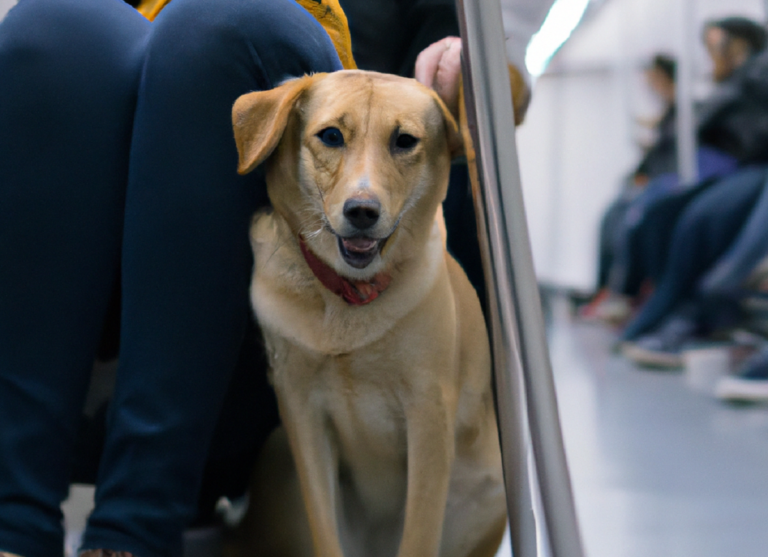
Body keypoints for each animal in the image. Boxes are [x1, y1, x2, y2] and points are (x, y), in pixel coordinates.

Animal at [228, 70, 508, 556]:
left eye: (405, 141)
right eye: (331, 136)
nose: (362, 211)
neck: (347, 299)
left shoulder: (429, 416)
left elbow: (419, 536)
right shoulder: (300, 413)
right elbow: (325, 532)